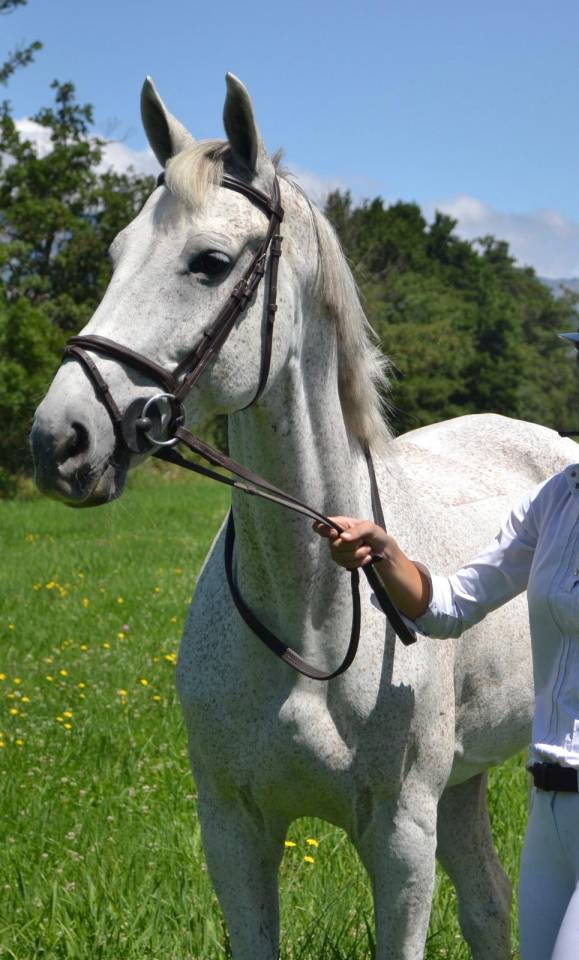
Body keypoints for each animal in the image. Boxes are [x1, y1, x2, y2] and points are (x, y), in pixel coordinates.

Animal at [31, 73, 577, 959]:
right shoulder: (234, 830)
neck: (311, 604)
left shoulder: (398, 838)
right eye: (114, 253)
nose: (61, 440)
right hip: (459, 785)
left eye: (209, 263)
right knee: (489, 904)